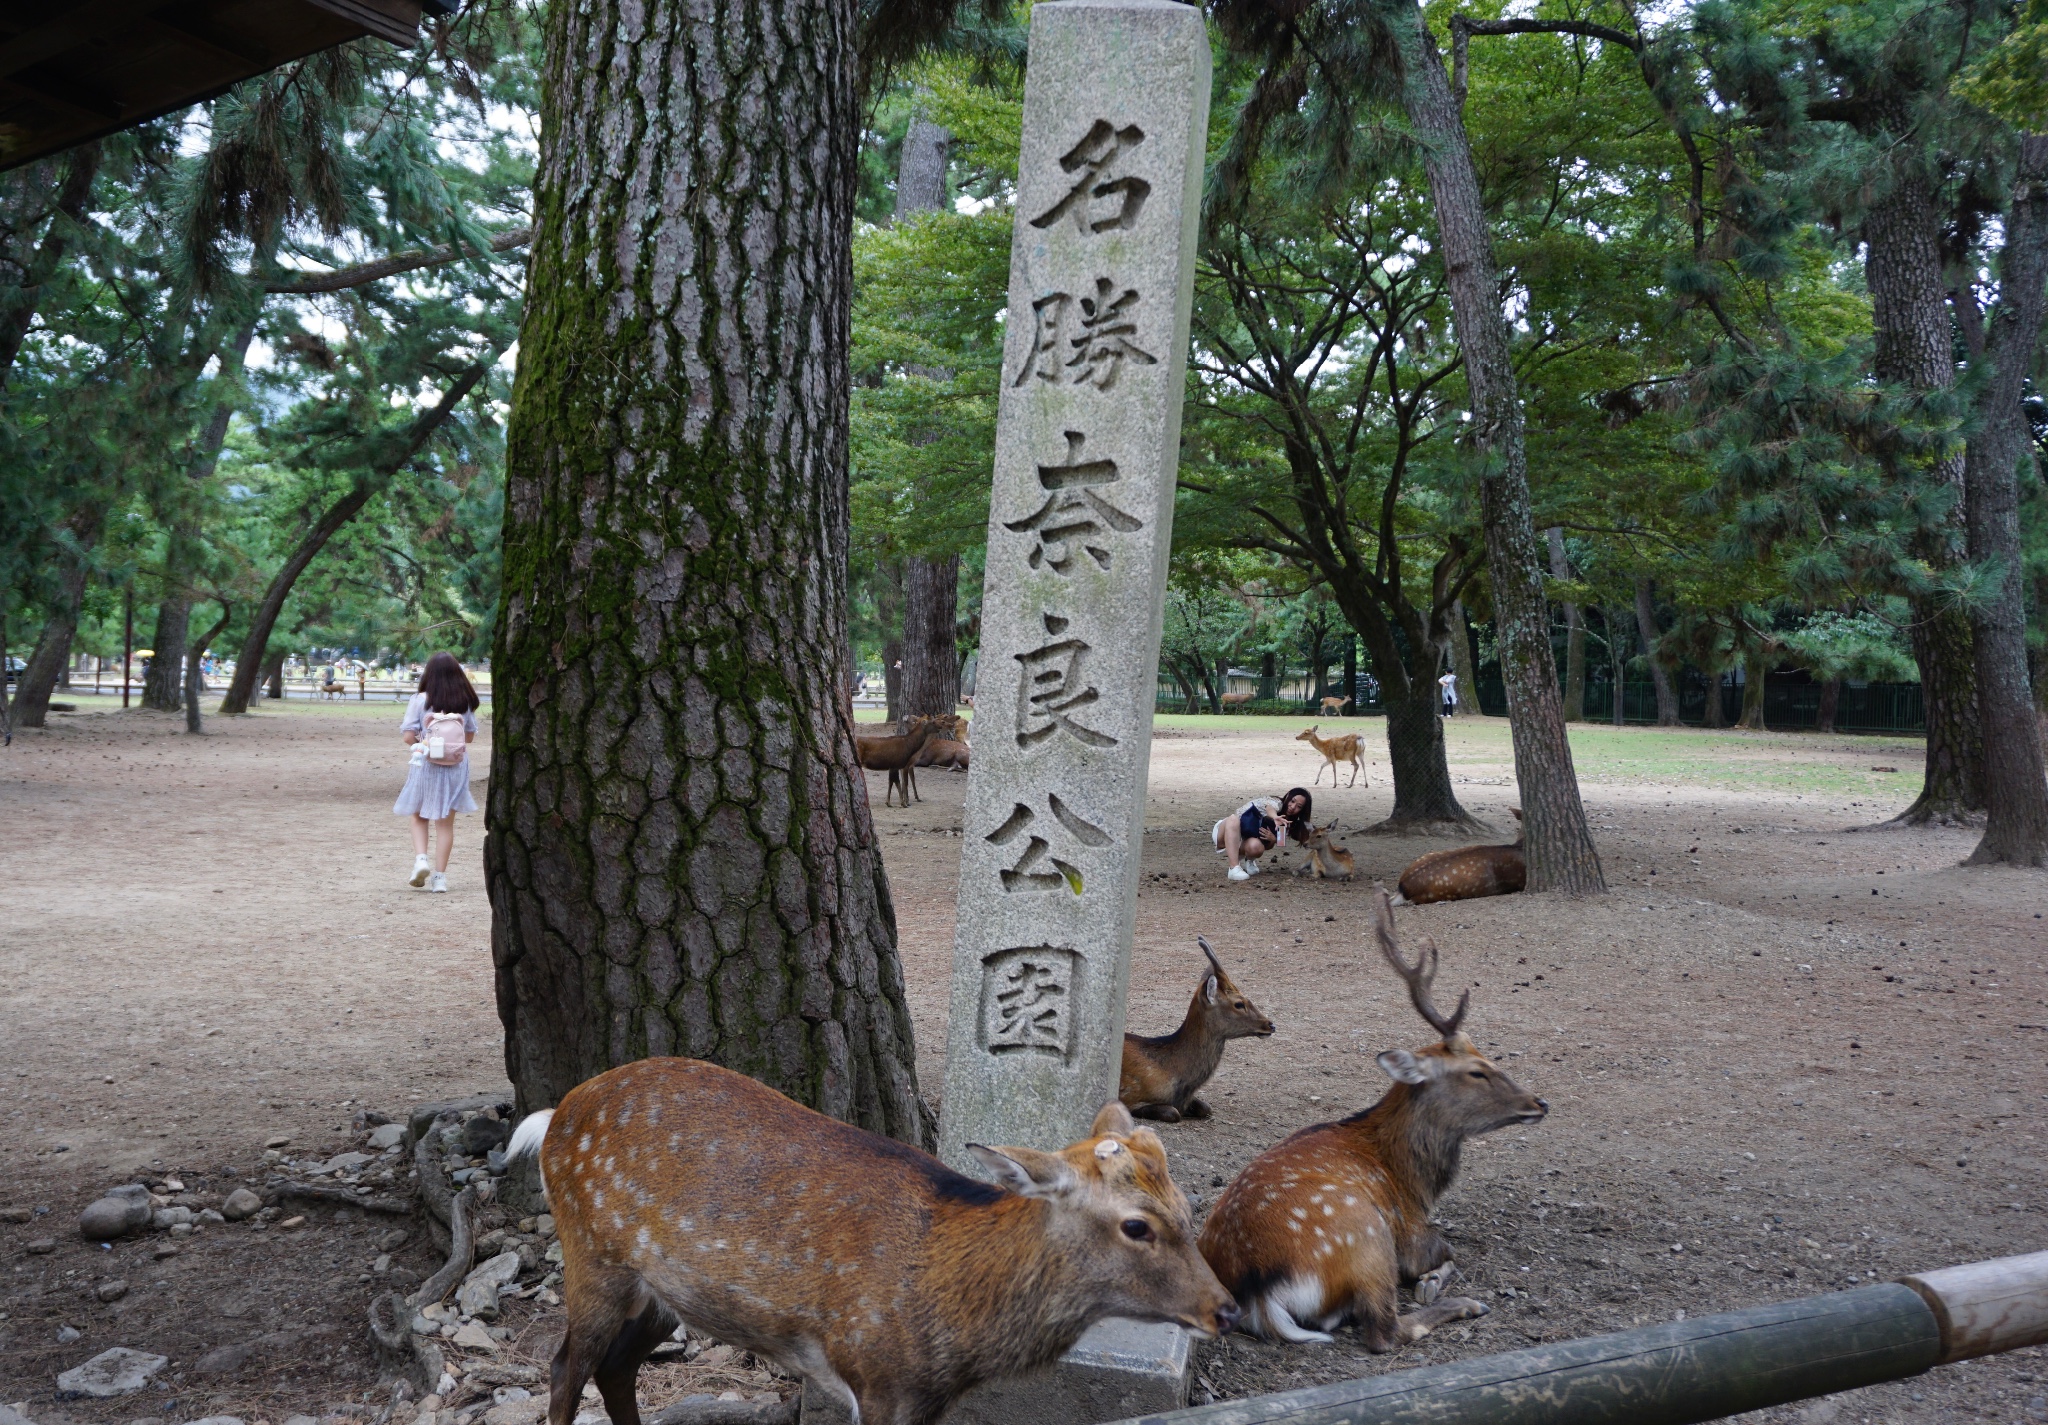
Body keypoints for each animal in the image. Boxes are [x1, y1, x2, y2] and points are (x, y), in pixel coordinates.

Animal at [503, 1048, 1236, 1425]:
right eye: (1137, 1224)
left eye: (1186, 1205)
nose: (1225, 1308)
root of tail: (555, 1113)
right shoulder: (877, 1374)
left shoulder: (924, 1400)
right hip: (592, 1252)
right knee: (567, 1365)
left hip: (666, 1289)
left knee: (616, 1366)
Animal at [1196, 896, 1540, 1351]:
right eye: (1477, 1071)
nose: (1539, 1102)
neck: (1414, 1182)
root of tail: (1260, 1295)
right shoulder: (1410, 1235)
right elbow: (1447, 1250)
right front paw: (1431, 1281)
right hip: (1367, 1237)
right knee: (1383, 1329)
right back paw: (1467, 1304)